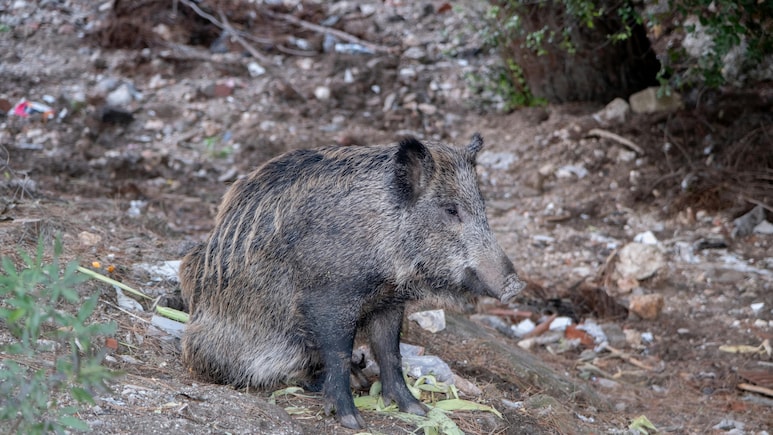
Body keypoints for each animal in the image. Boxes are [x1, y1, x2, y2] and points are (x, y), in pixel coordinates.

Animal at [179, 134, 525, 429]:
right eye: (451, 210)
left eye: (483, 209)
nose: (514, 286)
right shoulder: (329, 299)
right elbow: (339, 354)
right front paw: (352, 421)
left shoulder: (389, 301)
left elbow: (390, 353)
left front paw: (417, 410)